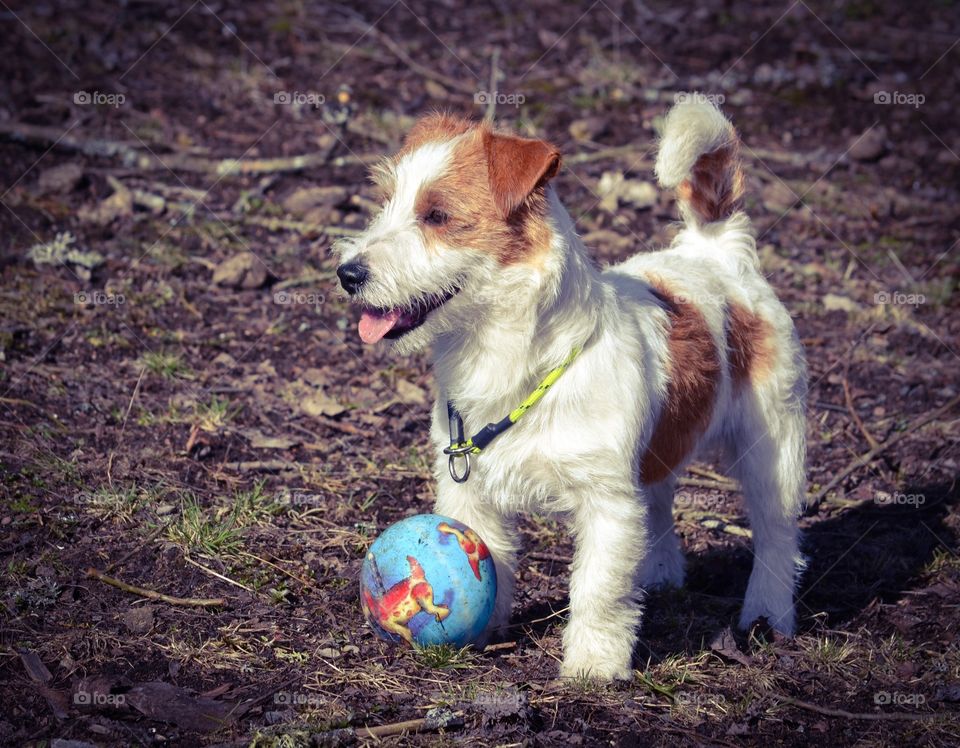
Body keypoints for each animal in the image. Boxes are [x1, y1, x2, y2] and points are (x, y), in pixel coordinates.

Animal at [334, 96, 808, 680]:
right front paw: (482, 633)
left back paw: (767, 612)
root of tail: (717, 253)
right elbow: (491, 557)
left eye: (437, 216)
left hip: (772, 448)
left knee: (776, 533)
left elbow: (598, 588)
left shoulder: (606, 503)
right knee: (658, 501)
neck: (510, 359)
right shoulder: (469, 494)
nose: (348, 273)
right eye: (386, 203)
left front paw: (593, 664)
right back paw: (658, 573)